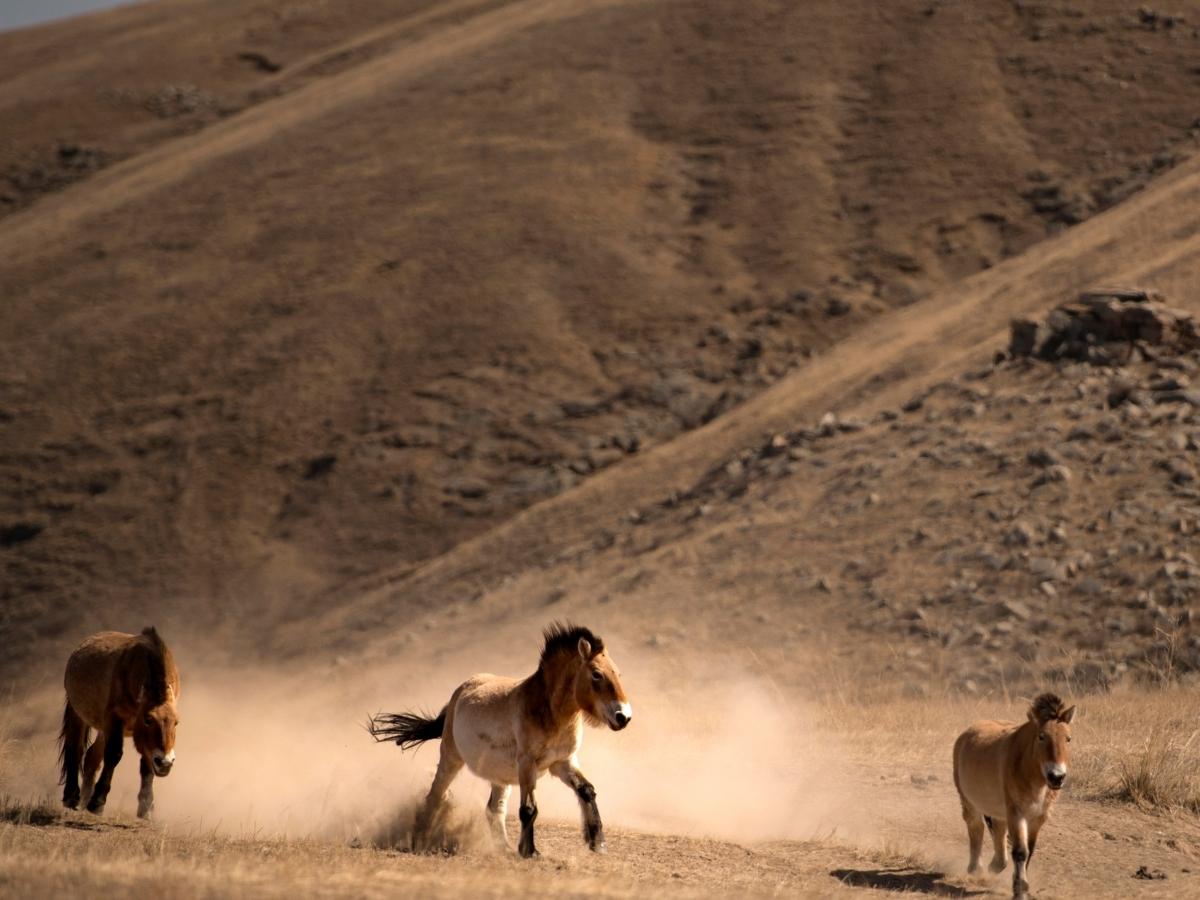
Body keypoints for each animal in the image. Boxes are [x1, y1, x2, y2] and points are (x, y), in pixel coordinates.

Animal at [58, 627, 181, 819]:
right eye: (148, 719)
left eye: (176, 722)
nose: (165, 762)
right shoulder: (115, 719)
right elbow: (114, 754)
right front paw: (97, 802)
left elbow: (146, 763)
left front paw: (146, 807)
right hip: (77, 713)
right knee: (75, 749)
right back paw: (72, 796)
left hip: (103, 728)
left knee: (91, 757)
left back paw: (84, 800)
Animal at [369, 622, 632, 858]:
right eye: (597, 674)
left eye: (618, 673)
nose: (624, 716)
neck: (548, 710)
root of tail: (459, 693)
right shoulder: (527, 764)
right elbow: (529, 809)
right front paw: (529, 851)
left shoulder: (563, 762)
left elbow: (587, 790)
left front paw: (598, 844)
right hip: (451, 758)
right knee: (435, 796)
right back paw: (421, 840)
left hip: (500, 776)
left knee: (494, 809)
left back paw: (502, 848)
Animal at [953, 693, 1075, 898]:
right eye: (1041, 736)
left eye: (1068, 739)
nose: (1056, 777)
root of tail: (966, 734)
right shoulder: (1017, 813)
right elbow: (1020, 851)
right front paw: (1020, 889)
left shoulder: (1038, 818)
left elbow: (1029, 850)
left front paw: (1019, 884)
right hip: (969, 802)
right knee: (976, 828)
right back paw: (976, 869)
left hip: (999, 811)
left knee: (998, 830)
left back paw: (996, 865)